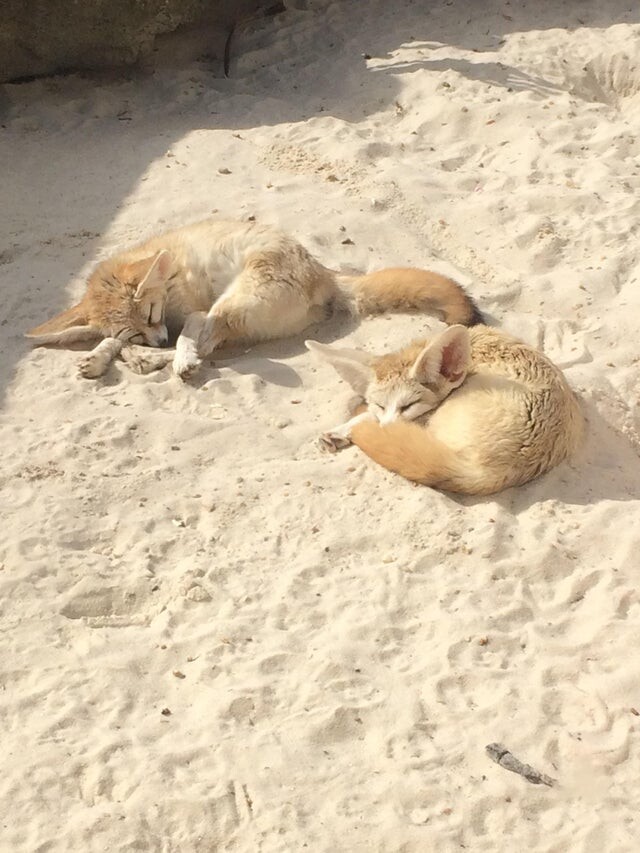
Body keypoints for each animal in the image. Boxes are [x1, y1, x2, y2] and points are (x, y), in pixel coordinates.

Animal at [25, 219, 483, 380]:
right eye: (138, 328)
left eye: (152, 312)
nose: (152, 341)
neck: (170, 278)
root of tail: (323, 273)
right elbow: (108, 336)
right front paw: (102, 354)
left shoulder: (184, 310)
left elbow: (186, 330)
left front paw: (157, 354)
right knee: (210, 343)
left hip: (234, 300)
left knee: (205, 336)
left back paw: (171, 360)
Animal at [306, 323, 584, 496]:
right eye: (381, 405)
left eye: (409, 405)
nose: (387, 431)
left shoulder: (421, 416)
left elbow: (366, 418)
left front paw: (346, 429)